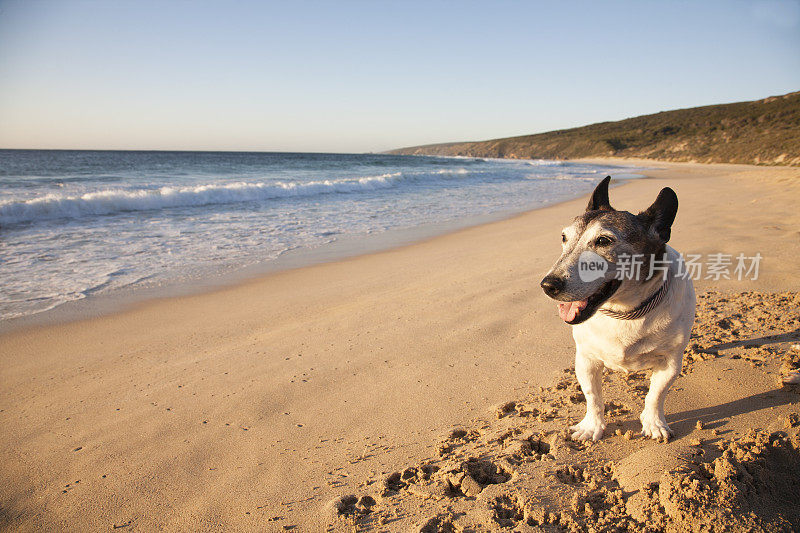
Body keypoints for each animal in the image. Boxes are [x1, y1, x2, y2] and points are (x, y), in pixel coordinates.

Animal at [544, 177, 692, 438]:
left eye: (603, 241)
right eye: (563, 237)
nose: (547, 285)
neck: (624, 313)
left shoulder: (671, 363)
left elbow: (656, 394)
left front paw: (654, 423)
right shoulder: (586, 359)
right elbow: (593, 396)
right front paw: (592, 426)